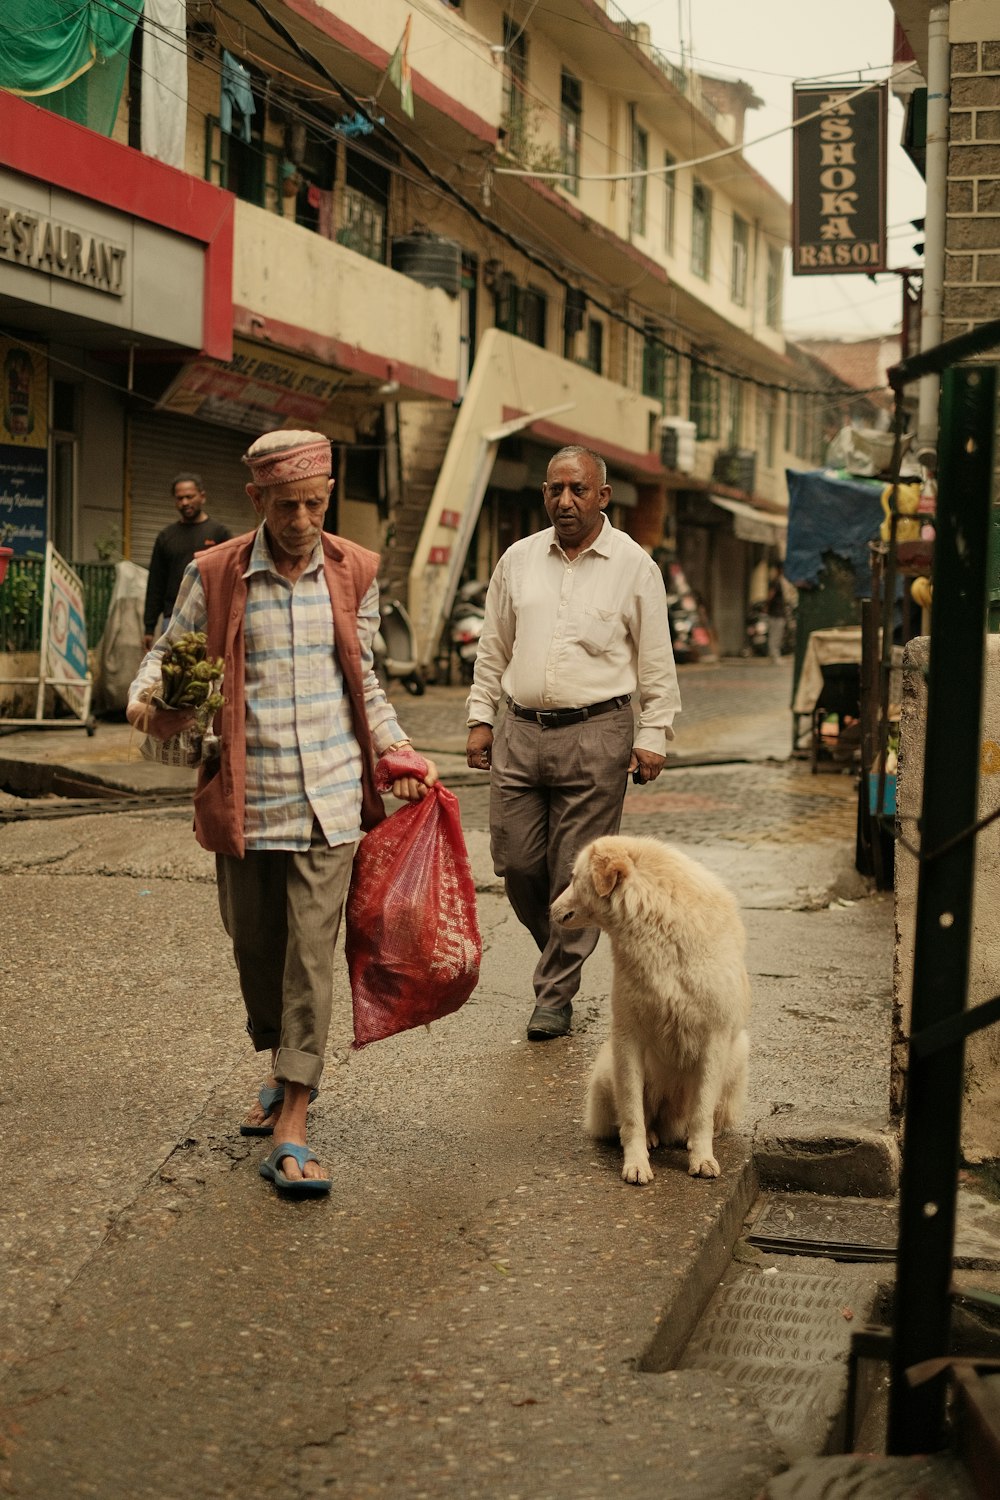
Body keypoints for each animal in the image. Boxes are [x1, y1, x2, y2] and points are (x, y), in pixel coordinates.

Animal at [548, 834, 749, 1182]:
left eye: (573, 878)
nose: (550, 909)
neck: (657, 926)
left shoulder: (716, 1038)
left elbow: (702, 1114)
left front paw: (702, 1158)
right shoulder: (628, 1038)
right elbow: (632, 1115)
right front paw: (636, 1163)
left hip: (738, 1054)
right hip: (609, 1068)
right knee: (639, 1118)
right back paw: (654, 1137)